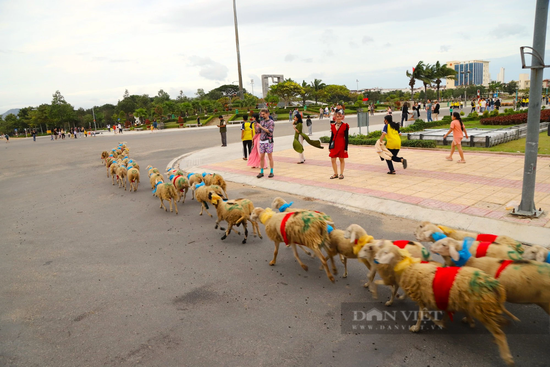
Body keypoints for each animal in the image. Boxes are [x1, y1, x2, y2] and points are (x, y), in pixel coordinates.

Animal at [378, 246, 520, 366]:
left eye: (386, 252)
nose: (376, 260)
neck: (407, 266)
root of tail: (493, 284)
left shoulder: (422, 296)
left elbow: (420, 314)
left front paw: (417, 327)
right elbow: (429, 311)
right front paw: (440, 321)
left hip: (482, 309)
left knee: (499, 333)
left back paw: (508, 358)